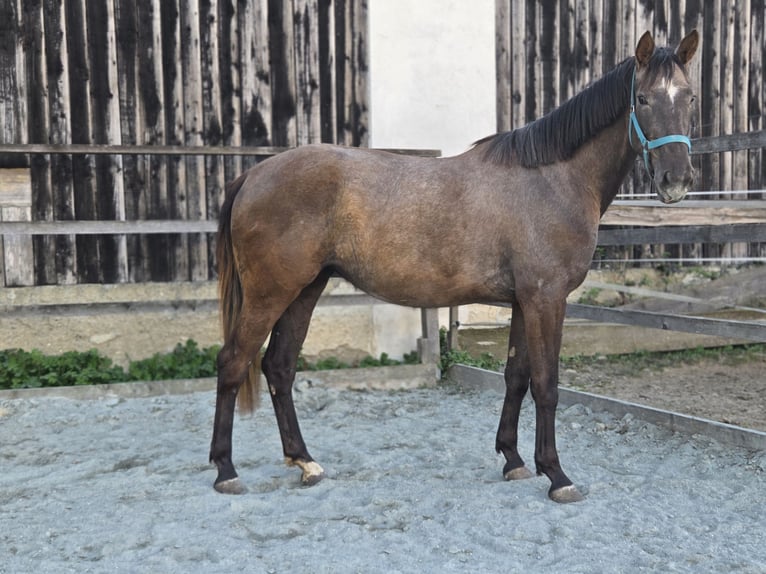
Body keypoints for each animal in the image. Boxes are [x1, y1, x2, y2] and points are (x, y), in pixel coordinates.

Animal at [210, 30, 699, 503]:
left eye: (690, 98)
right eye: (642, 99)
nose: (676, 180)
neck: (553, 178)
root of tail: (252, 176)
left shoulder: (523, 302)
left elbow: (516, 377)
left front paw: (513, 460)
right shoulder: (546, 299)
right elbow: (546, 384)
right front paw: (557, 475)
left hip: (304, 290)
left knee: (279, 367)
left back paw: (305, 462)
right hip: (270, 293)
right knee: (233, 362)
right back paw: (226, 471)